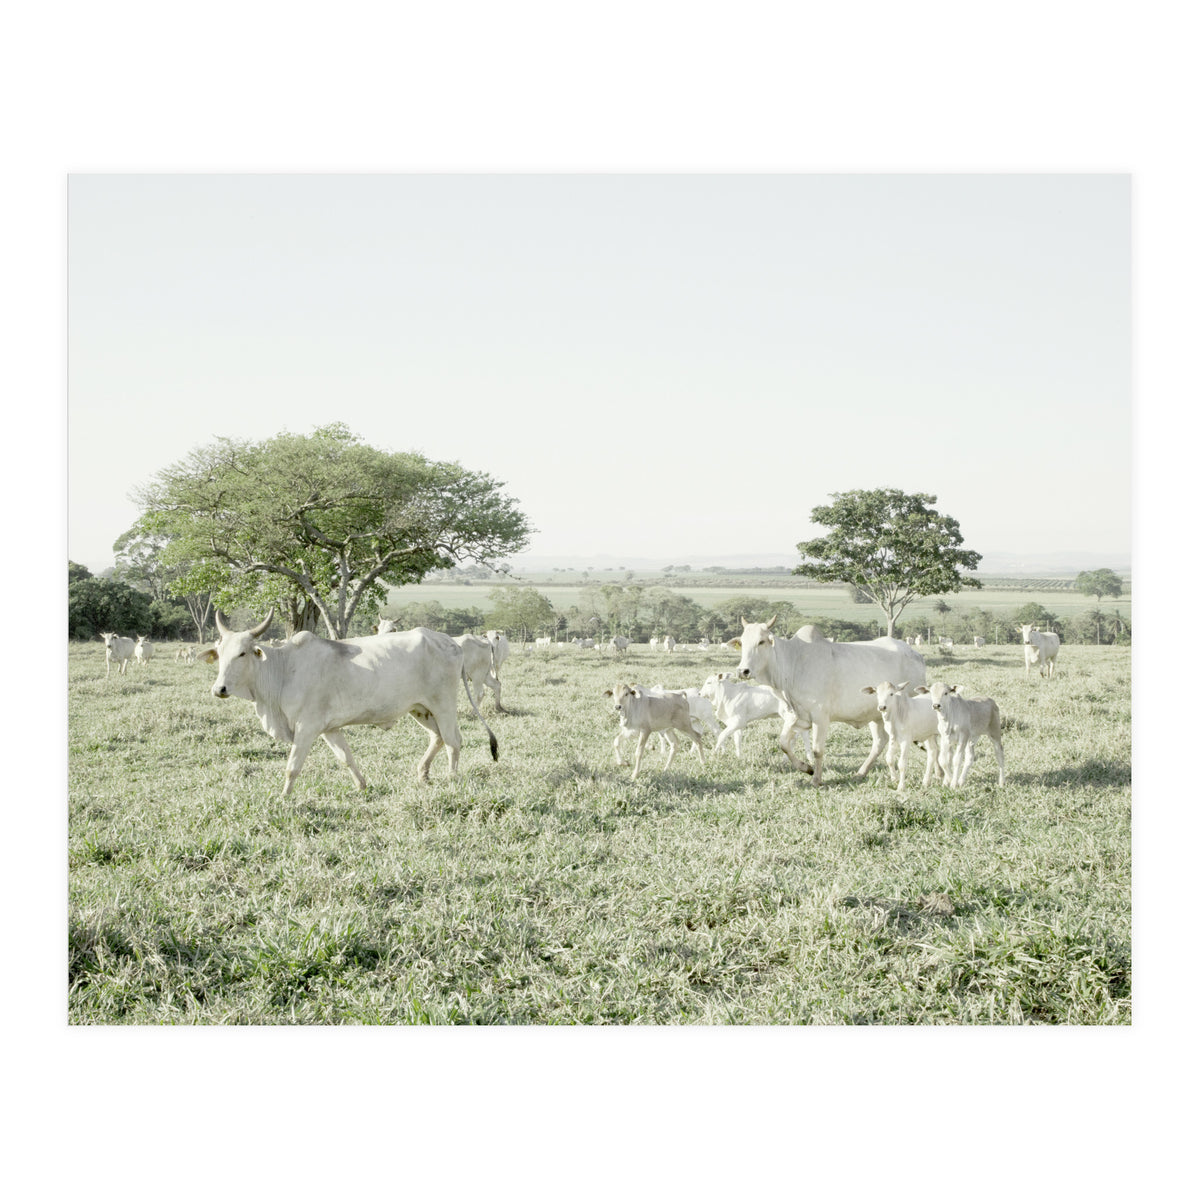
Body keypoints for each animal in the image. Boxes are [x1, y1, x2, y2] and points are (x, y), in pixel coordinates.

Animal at [202, 610, 498, 795]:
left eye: (242, 653)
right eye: (219, 653)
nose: (219, 689)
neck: (283, 669)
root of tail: (451, 642)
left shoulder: (307, 728)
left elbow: (292, 767)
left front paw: (283, 797)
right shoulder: (330, 729)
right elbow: (346, 759)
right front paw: (362, 786)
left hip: (443, 705)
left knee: (453, 741)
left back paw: (451, 778)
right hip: (420, 709)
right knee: (437, 738)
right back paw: (423, 774)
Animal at [733, 618, 927, 785]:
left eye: (761, 642)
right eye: (742, 643)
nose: (743, 671)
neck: (793, 663)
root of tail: (916, 655)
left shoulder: (820, 717)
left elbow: (817, 750)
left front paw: (816, 779)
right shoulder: (794, 716)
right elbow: (784, 744)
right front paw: (806, 768)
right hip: (877, 715)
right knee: (880, 741)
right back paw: (861, 772)